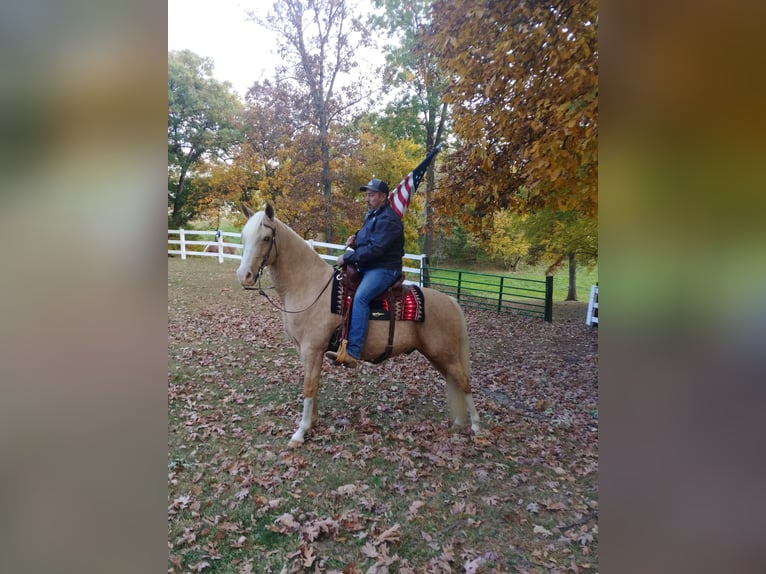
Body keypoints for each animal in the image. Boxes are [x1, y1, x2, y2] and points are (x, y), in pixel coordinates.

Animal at [237, 205, 484, 448]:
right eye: (243, 237)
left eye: (266, 238)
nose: (244, 275)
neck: (310, 286)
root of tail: (450, 301)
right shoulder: (305, 351)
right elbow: (313, 384)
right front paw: (312, 422)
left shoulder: (312, 349)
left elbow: (309, 387)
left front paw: (300, 432)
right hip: (437, 356)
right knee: (455, 381)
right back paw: (460, 423)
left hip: (445, 354)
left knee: (464, 383)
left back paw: (476, 427)